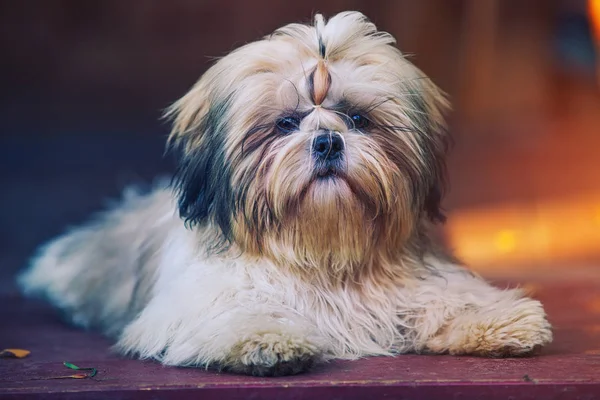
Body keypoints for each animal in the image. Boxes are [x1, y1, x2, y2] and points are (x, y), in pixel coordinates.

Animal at [18, 10, 552, 376]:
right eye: (285, 124)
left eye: (358, 119)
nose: (328, 141)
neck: (323, 252)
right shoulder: (201, 300)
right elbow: (241, 313)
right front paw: (267, 340)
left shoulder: (418, 285)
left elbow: (448, 299)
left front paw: (500, 321)